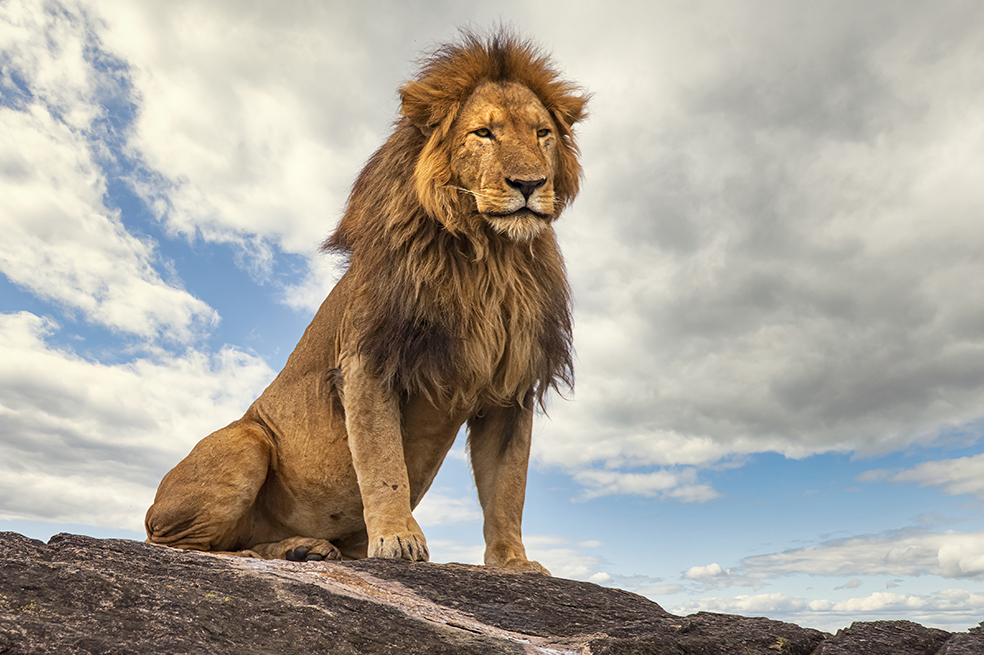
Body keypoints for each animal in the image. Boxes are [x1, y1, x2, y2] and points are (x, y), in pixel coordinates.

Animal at [145, 31, 588, 574]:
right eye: (483, 133)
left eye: (543, 133)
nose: (529, 185)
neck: (490, 259)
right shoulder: (368, 361)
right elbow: (383, 463)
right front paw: (398, 540)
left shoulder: (511, 387)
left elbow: (508, 487)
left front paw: (513, 562)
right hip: (245, 443)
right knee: (183, 544)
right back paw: (278, 550)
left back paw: (304, 547)